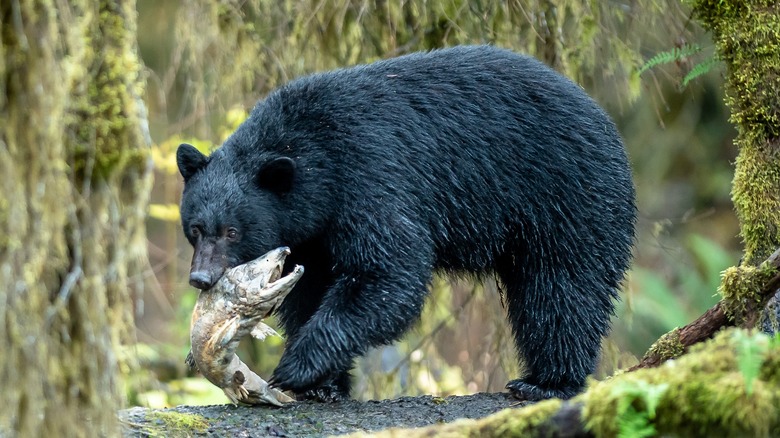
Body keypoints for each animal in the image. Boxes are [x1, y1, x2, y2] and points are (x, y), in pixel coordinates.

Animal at [177, 46, 632, 402]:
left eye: (232, 231)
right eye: (195, 228)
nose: (201, 278)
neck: (314, 158)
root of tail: (604, 120)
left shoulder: (370, 174)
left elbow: (388, 272)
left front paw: (297, 368)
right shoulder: (312, 236)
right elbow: (310, 290)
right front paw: (325, 383)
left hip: (566, 198)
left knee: (562, 289)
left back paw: (547, 382)